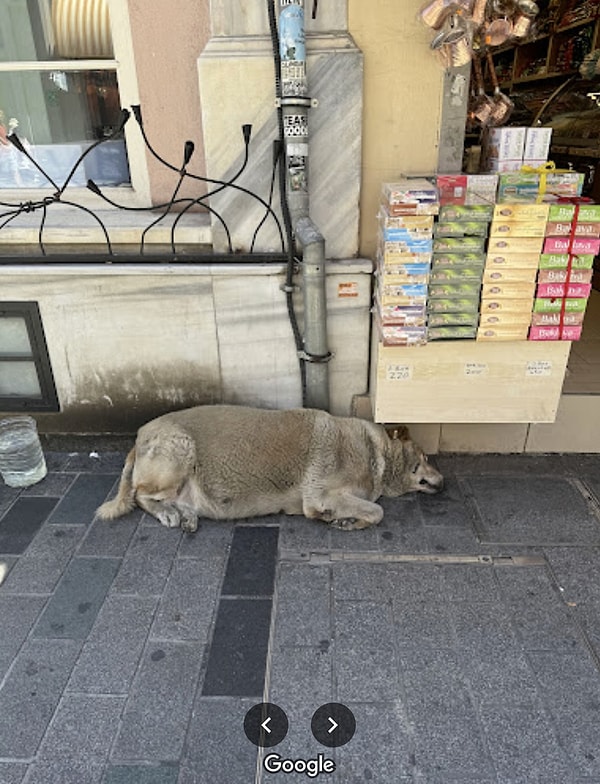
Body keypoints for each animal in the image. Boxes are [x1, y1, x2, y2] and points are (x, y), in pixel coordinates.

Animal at [96, 404, 442, 532]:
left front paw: (347, 520)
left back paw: (186, 515)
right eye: (425, 457)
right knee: (140, 495)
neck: (375, 452)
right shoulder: (321, 495)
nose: (443, 481)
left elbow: (372, 509)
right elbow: (377, 510)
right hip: (180, 450)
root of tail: (139, 436)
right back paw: (168, 512)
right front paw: (348, 521)